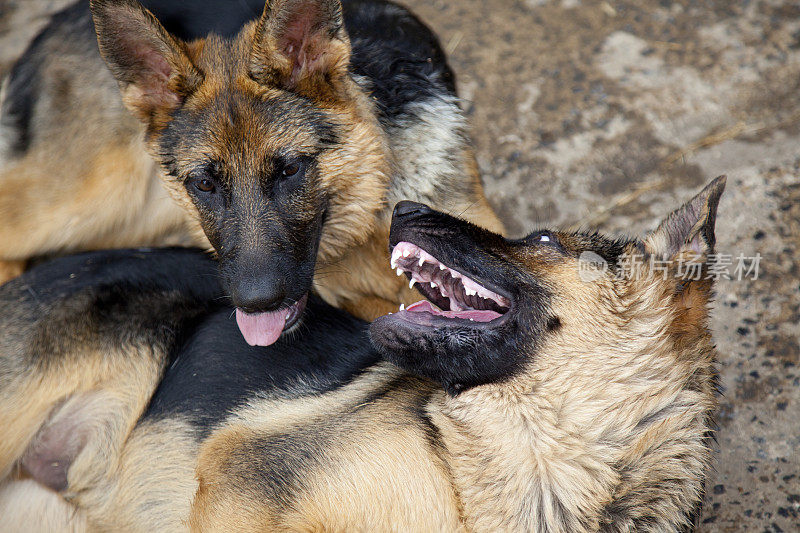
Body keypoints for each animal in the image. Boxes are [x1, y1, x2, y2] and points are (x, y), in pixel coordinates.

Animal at [0, 0, 500, 342]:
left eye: (290, 170)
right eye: (204, 183)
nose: (256, 304)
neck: (372, 209)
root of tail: (53, 23)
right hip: (88, 196)